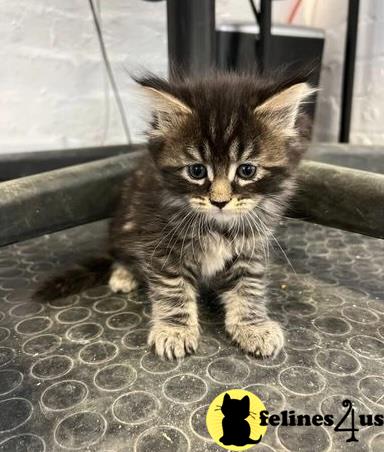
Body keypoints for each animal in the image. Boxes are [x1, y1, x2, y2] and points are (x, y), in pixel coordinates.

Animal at [36, 70, 314, 360]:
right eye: (196, 171)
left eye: (247, 170)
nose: (220, 202)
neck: (217, 225)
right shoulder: (158, 242)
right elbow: (172, 287)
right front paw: (175, 330)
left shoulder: (252, 247)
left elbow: (249, 285)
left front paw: (254, 325)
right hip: (124, 226)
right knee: (121, 255)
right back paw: (124, 274)